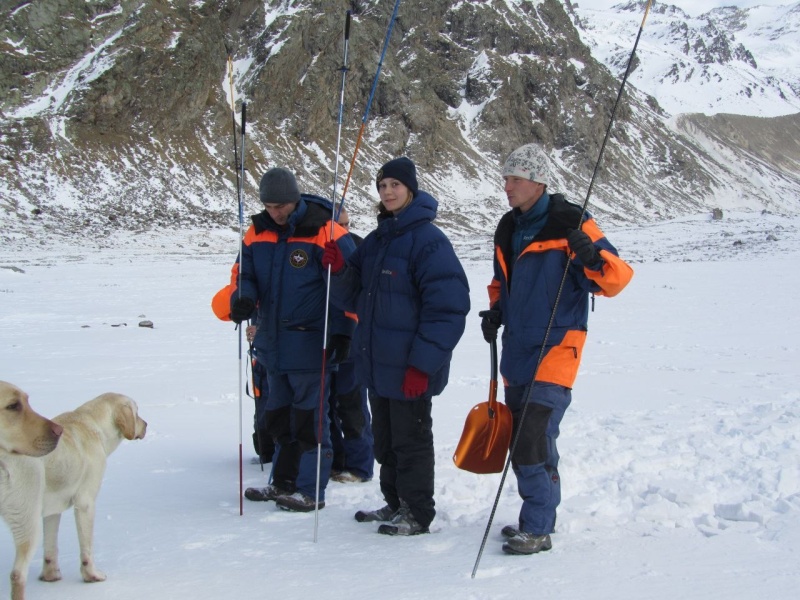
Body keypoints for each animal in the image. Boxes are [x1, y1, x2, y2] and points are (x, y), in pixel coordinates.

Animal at [38, 394, 147, 584]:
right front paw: (92, 575)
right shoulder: (85, 502)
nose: (146, 424)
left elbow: (50, 547)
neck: (94, 424)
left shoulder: (52, 507)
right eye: (137, 412)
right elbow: (87, 548)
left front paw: (51, 576)